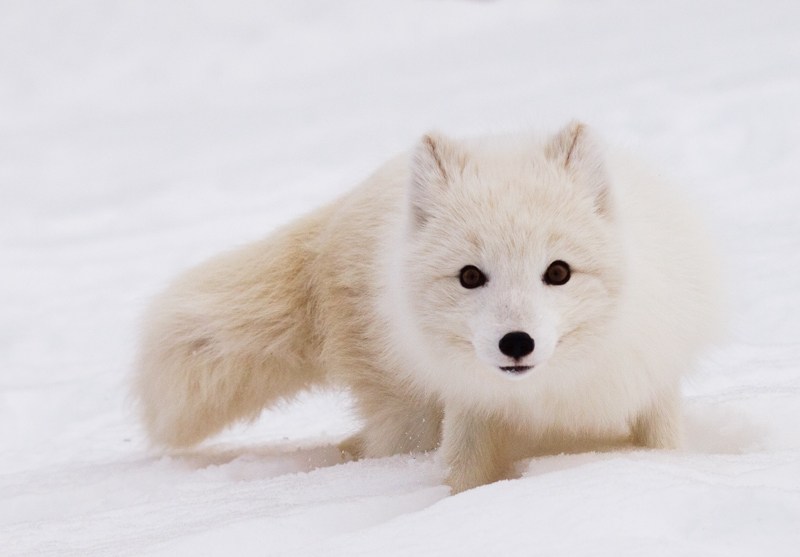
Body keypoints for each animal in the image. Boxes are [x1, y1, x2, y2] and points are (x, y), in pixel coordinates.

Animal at [134, 121, 720, 490]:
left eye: (558, 272)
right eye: (470, 276)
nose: (516, 343)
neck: (551, 395)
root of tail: (336, 218)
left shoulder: (651, 385)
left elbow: (663, 447)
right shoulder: (467, 409)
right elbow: (462, 481)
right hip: (409, 416)